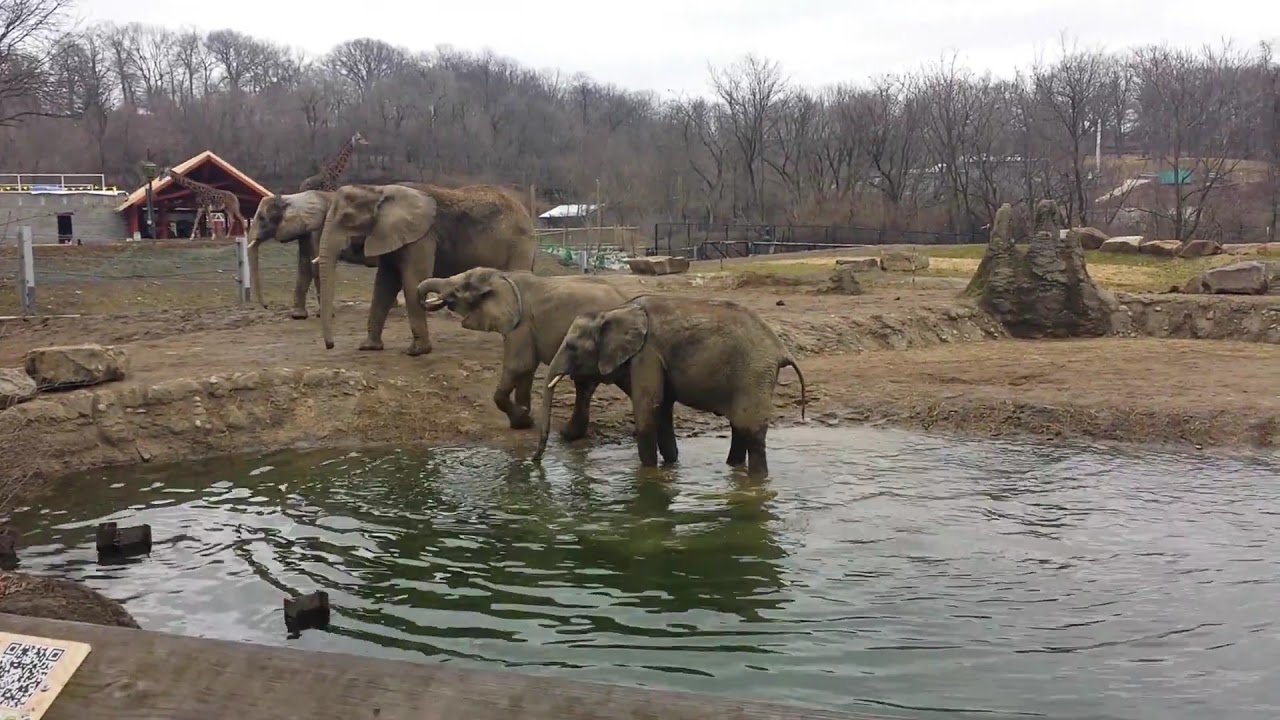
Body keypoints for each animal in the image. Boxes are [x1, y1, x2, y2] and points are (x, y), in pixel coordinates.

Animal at [314, 182, 537, 356]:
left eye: (347, 218)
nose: (330, 345)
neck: (379, 190)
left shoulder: (420, 237)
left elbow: (413, 279)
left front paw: (416, 352)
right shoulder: (389, 235)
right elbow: (384, 284)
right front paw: (369, 347)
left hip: (519, 245)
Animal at [416, 266, 629, 436]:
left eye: (458, 289)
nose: (429, 300)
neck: (503, 276)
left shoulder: (522, 322)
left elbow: (518, 365)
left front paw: (520, 421)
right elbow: (527, 369)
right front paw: (525, 421)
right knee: (584, 384)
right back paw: (570, 435)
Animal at [533, 295, 807, 477]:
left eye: (571, 347)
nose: (535, 462)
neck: (613, 311)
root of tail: (782, 350)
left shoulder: (647, 354)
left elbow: (648, 406)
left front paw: (648, 476)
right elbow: (662, 407)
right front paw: (671, 467)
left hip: (754, 373)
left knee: (752, 431)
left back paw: (757, 481)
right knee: (740, 426)